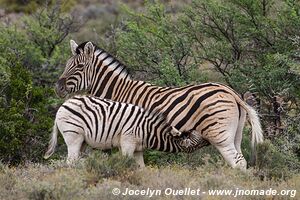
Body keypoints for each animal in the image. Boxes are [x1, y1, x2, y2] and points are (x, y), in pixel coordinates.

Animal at [44, 95, 202, 166]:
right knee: (70, 161)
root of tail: (64, 104)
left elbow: (141, 167)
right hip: (73, 135)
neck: (148, 130)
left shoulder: (138, 148)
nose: (203, 134)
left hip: (82, 140)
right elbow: (126, 163)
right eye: (196, 139)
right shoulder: (128, 141)